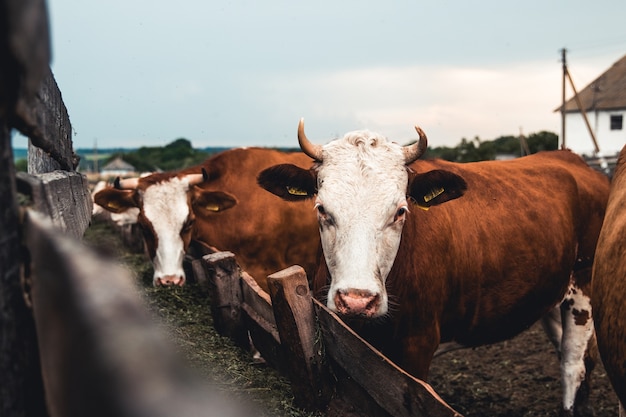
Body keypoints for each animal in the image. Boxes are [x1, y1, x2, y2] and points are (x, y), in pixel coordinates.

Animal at [256, 118, 608, 414]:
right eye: (321, 208)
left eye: (400, 210)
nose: (357, 300)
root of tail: (572, 159)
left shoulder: (416, 349)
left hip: (583, 288)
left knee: (574, 364)